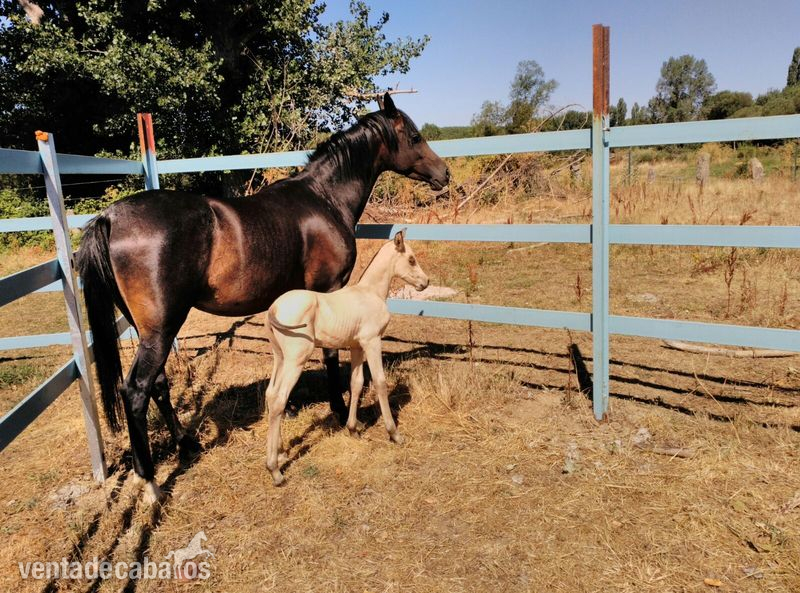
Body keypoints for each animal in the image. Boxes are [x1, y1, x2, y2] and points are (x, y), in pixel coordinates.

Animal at [264, 230, 428, 485]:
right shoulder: (372, 341)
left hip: (279, 357)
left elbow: (356, 383)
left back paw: (280, 453)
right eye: (411, 259)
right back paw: (275, 470)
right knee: (279, 399)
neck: (370, 293)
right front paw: (394, 434)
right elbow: (380, 383)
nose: (425, 282)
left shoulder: (356, 346)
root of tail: (274, 309)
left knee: (270, 395)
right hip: (295, 359)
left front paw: (353, 429)